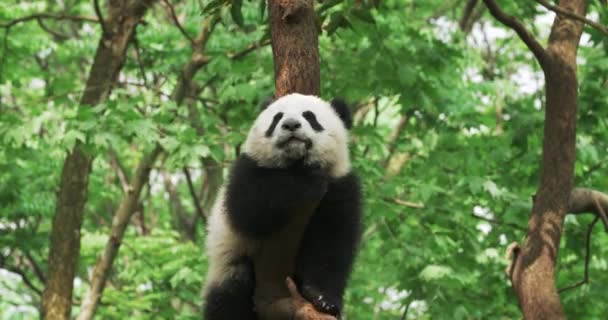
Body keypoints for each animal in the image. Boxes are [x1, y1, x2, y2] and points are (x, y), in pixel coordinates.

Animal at [204, 93, 360, 320]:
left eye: (310, 116)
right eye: (277, 118)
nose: (291, 124)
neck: (295, 162)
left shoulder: (340, 184)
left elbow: (333, 239)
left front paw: (323, 299)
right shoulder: (247, 170)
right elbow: (249, 210)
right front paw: (306, 181)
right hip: (230, 265)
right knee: (228, 301)